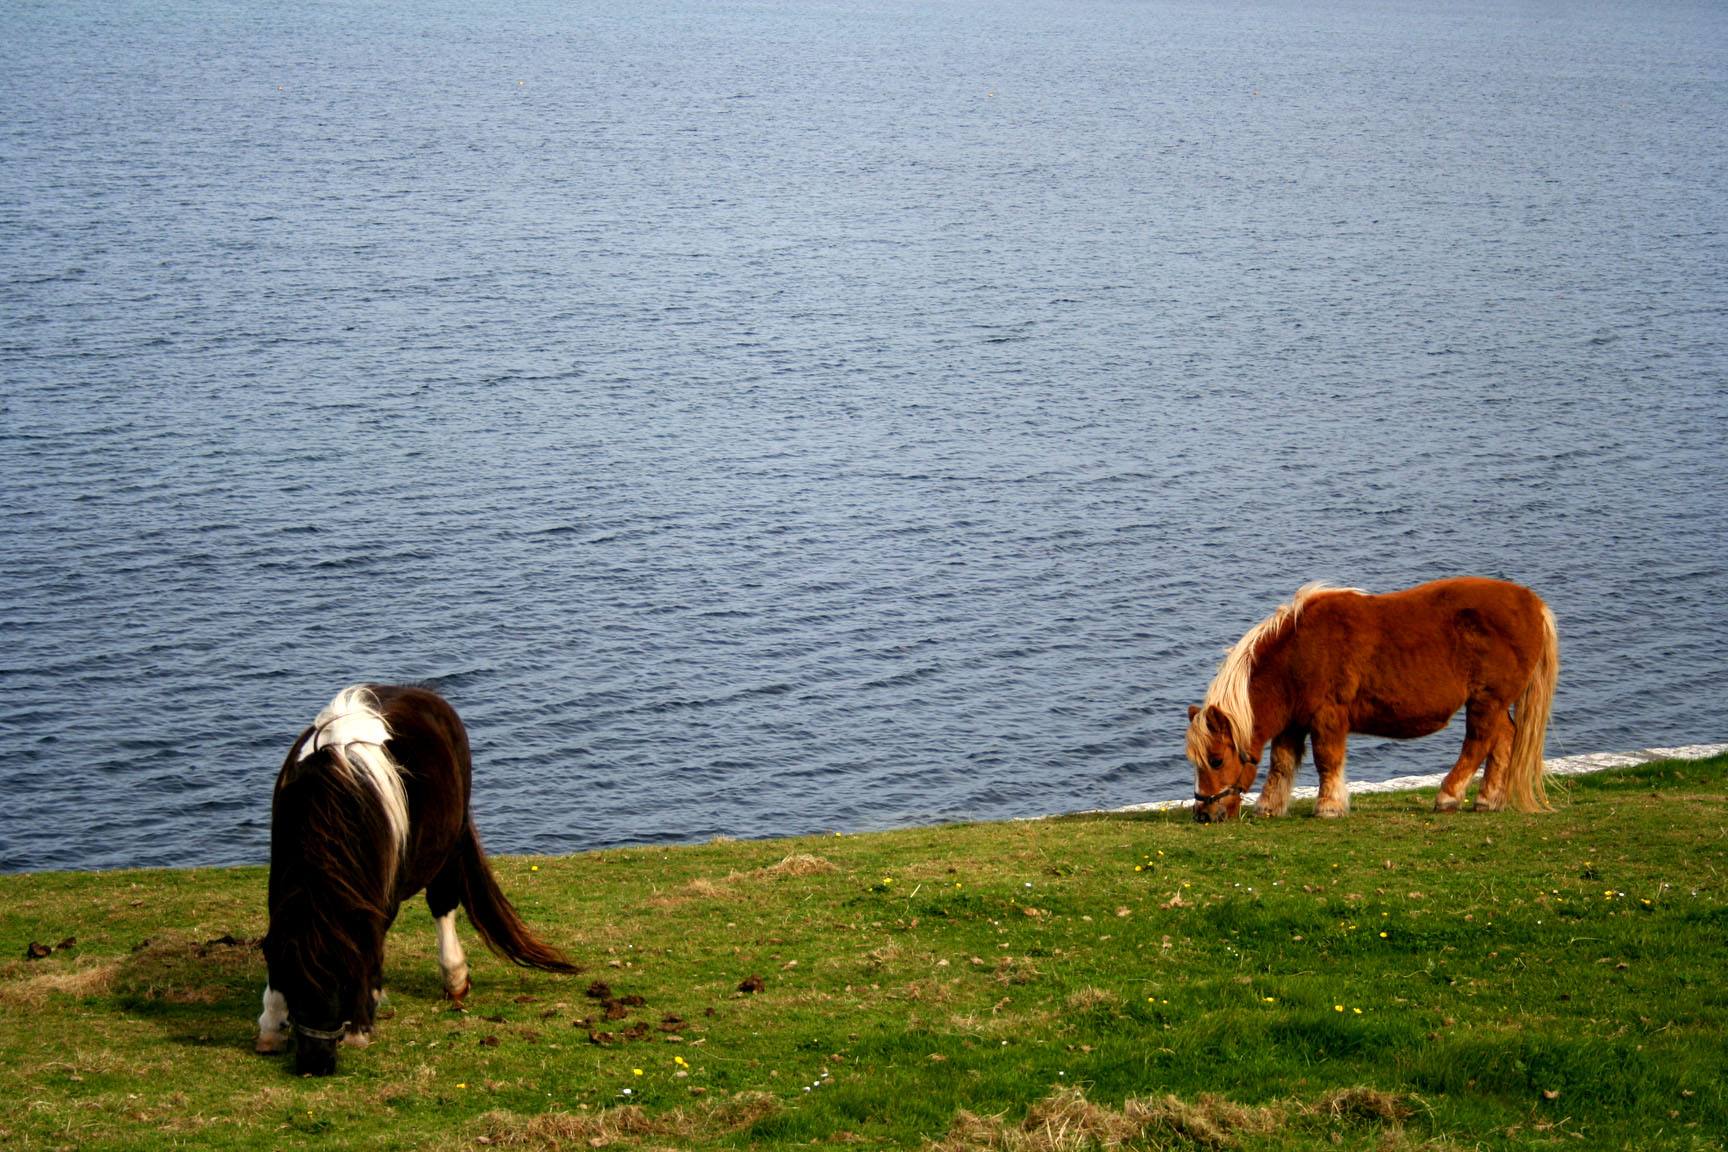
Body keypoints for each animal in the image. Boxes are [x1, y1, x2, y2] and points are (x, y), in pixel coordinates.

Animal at [256, 684, 577, 1075]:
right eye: (295, 984)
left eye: (343, 983)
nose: (315, 1064)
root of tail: (421, 692)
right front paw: (271, 1027)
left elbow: (372, 944)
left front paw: (360, 1028)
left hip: (450, 842)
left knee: (443, 903)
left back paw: (455, 979)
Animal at [1184, 577, 1558, 823]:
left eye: (1216, 760)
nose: (1204, 814)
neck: (1299, 651)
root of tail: (1533, 604)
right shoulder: (1293, 722)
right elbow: (1281, 763)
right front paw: (1269, 807)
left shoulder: (1327, 717)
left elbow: (1327, 761)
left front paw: (1329, 806)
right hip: (1495, 704)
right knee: (1503, 742)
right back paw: (1487, 800)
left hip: (1486, 701)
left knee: (1477, 744)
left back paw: (1448, 797)